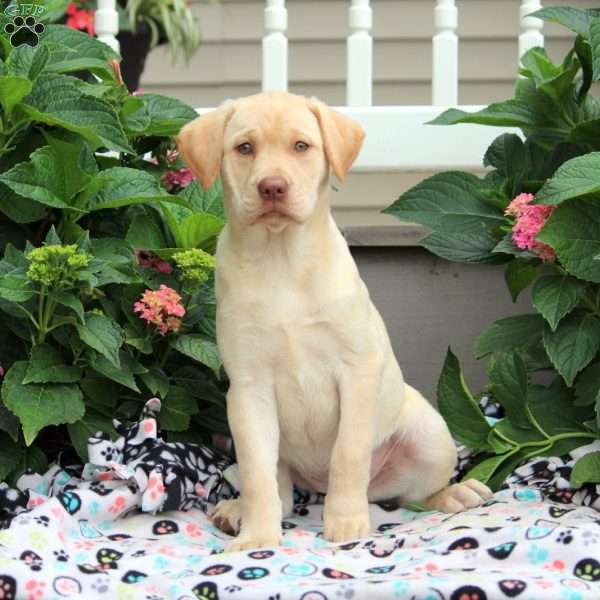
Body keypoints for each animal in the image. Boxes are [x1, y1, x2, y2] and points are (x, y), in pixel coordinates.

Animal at [175, 91, 492, 552]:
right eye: (244, 148)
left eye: (301, 146)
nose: (272, 187)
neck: (282, 260)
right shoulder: (249, 390)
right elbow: (257, 472)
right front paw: (257, 538)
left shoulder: (357, 371)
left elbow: (348, 453)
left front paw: (346, 523)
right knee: (281, 489)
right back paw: (239, 511)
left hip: (430, 436)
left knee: (415, 494)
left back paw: (454, 493)